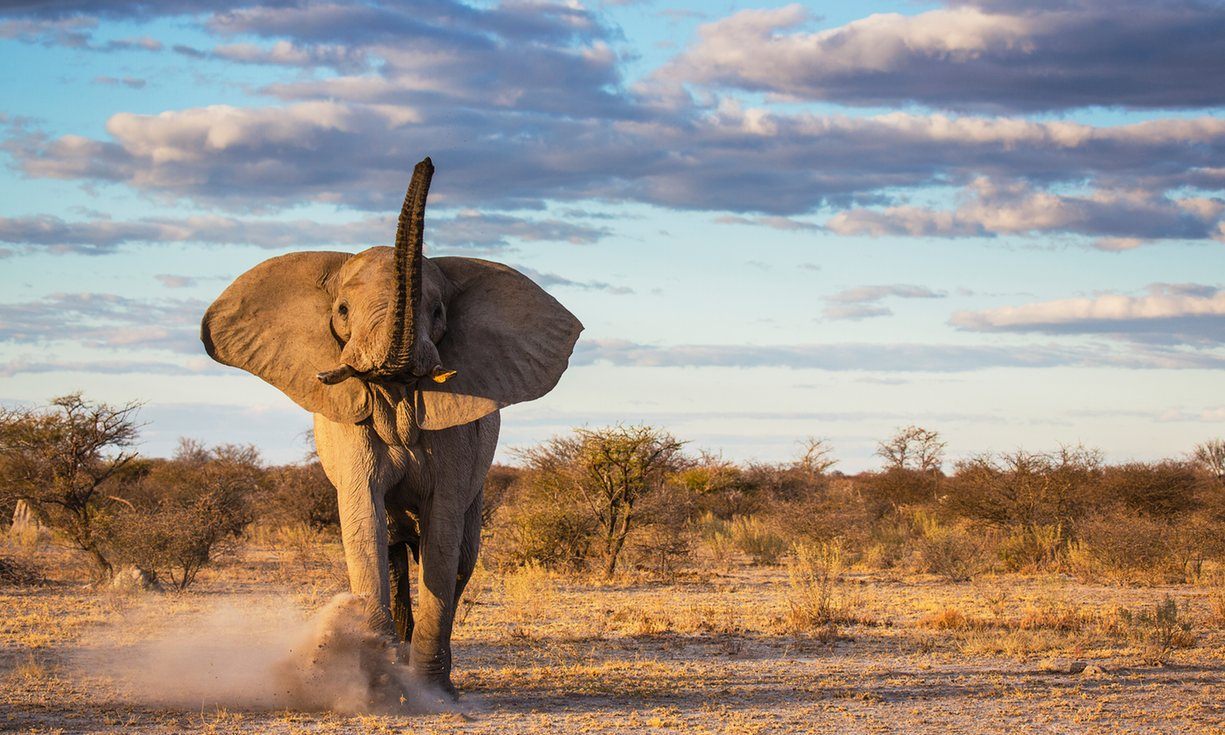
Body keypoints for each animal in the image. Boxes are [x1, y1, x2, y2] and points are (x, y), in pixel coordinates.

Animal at [200, 158, 583, 695]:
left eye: (438, 312)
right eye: (342, 310)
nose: (426, 163)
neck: (394, 387)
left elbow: (443, 539)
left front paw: (430, 692)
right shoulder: (349, 427)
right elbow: (364, 524)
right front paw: (377, 682)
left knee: (461, 556)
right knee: (395, 549)